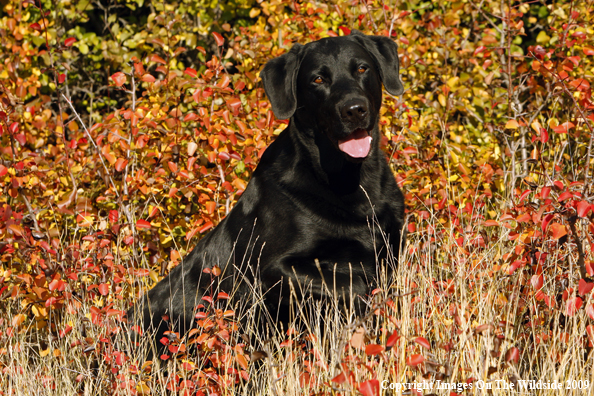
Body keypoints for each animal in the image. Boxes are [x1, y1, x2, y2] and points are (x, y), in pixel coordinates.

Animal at [127, 30, 404, 352]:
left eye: (362, 68)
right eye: (318, 79)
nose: (354, 110)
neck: (347, 179)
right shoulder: (273, 268)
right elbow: (354, 283)